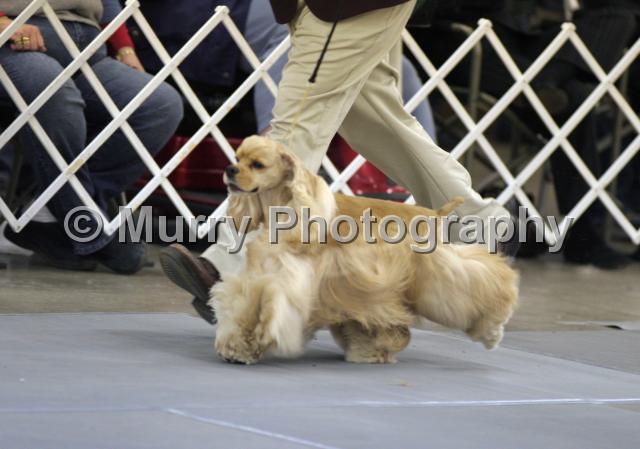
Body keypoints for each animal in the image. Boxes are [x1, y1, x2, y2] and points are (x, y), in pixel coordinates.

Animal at [211, 136, 519, 364]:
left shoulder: (290, 277)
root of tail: (432, 213)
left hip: (436, 273)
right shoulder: (262, 273)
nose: (229, 170)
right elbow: (244, 304)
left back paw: (491, 330)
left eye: (257, 164)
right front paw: (237, 346)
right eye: (237, 158)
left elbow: (267, 306)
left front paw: (254, 340)